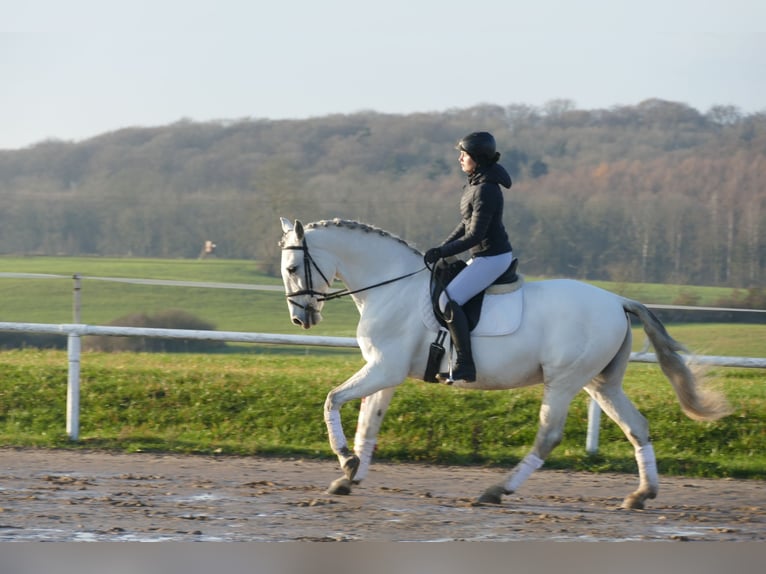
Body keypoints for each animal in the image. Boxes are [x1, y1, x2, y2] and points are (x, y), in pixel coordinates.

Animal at [278, 218, 732, 510]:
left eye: (291, 267)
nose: (301, 319)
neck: (391, 286)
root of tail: (618, 300)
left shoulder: (383, 369)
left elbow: (332, 400)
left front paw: (345, 461)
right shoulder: (385, 373)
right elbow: (367, 424)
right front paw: (349, 476)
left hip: (564, 382)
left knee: (548, 436)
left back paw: (496, 491)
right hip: (601, 383)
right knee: (636, 426)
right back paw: (641, 495)